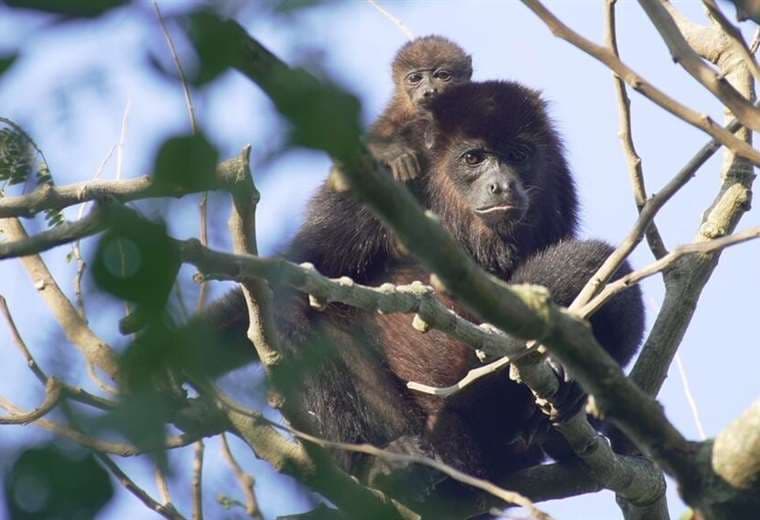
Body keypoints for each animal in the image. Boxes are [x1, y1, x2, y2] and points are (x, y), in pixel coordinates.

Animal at [190, 82, 640, 508]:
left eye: (519, 154)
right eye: (474, 158)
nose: (503, 185)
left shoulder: (559, 188)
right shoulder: (366, 190)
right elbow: (300, 278)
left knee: (601, 266)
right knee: (315, 321)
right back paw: (385, 465)